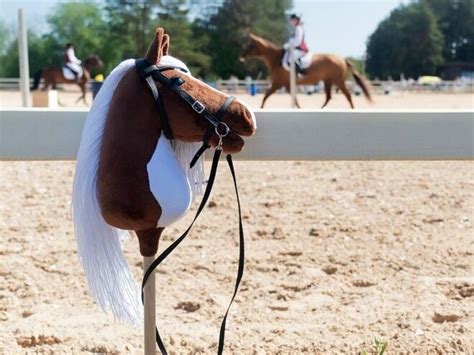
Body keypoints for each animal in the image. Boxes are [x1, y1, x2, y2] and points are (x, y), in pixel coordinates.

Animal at [243, 33, 372, 109]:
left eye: (251, 45)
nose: (241, 56)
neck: (276, 59)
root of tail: (342, 59)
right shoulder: (286, 84)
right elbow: (294, 99)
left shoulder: (277, 83)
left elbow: (265, 96)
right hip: (328, 81)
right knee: (329, 97)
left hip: (337, 81)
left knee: (347, 96)